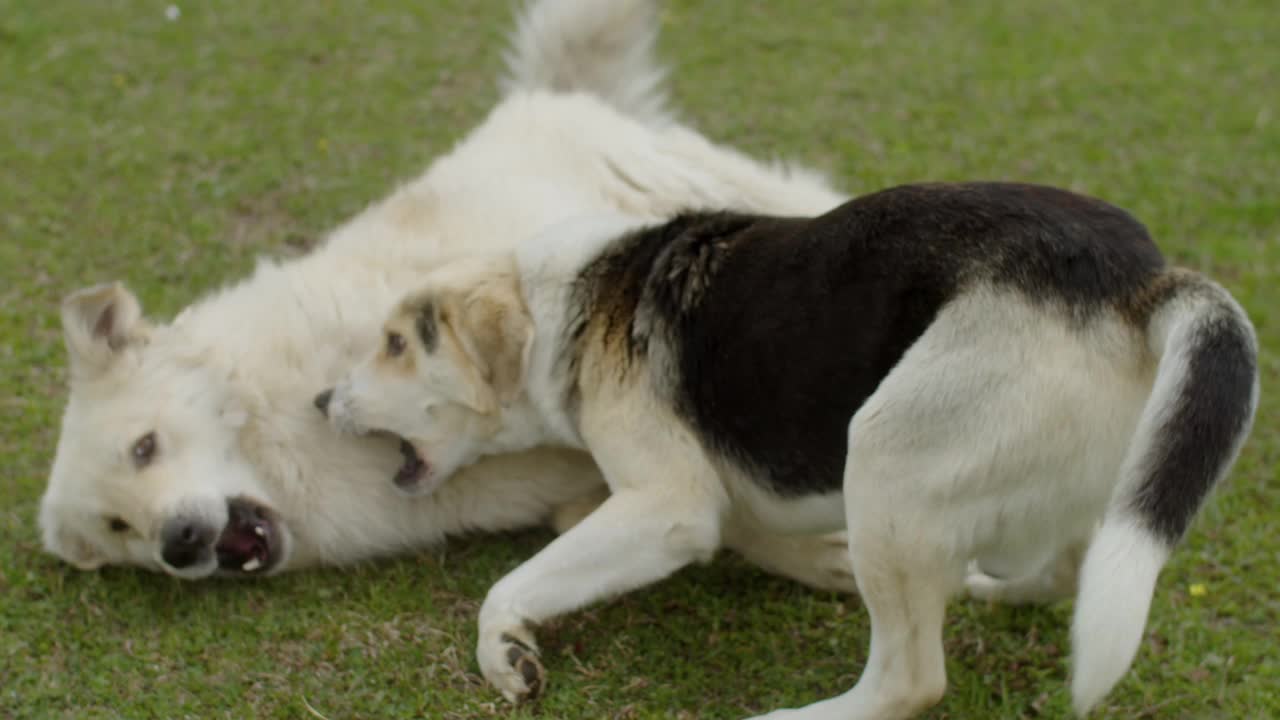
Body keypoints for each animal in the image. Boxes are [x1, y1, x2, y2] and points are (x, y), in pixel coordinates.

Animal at [314, 181, 1254, 712]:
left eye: (396, 344)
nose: (321, 400)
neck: (569, 300)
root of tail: (1140, 282)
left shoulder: (669, 510)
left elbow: (510, 585)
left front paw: (503, 649)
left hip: (885, 454)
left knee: (910, 681)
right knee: (1062, 572)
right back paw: (984, 583)